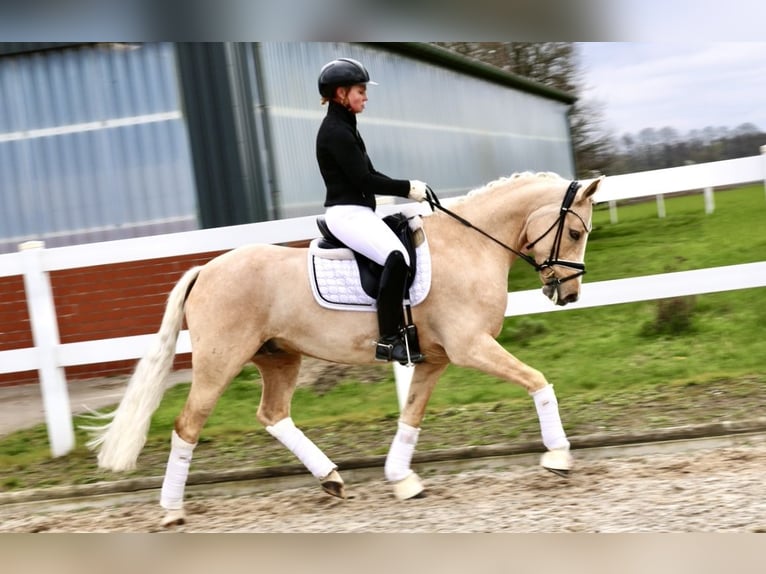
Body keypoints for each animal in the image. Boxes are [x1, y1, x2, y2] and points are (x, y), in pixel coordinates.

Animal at [87, 171, 608, 528]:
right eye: (576, 233)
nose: (568, 294)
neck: (468, 246)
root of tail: (206, 269)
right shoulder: (470, 347)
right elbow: (538, 381)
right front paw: (558, 457)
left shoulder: (437, 359)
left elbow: (411, 416)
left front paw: (402, 479)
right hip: (220, 363)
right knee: (188, 426)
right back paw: (172, 511)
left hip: (280, 356)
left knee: (273, 414)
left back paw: (331, 479)